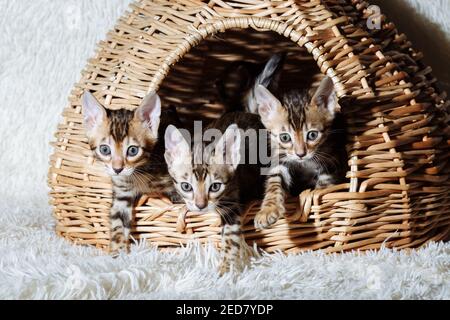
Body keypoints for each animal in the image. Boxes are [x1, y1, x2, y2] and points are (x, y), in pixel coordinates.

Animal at [81, 90, 180, 255]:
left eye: (133, 150)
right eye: (104, 149)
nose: (117, 169)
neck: (140, 173)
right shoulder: (121, 194)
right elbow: (118, 224)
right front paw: (118, 253)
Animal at [163, 112, 268, 272]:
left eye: (215, 187)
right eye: (186, 186)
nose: (201, 205)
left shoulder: (232, 200)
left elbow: (231, 234)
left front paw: (226, 268)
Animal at [251, 76, 346, 229]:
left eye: (312, 135)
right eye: (285, 137)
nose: (301, 154)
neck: (304, 164)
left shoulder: (332, 160)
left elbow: (323, 185)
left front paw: (317, 196)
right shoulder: (280, 158)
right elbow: (274, 180)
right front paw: (268, 210)